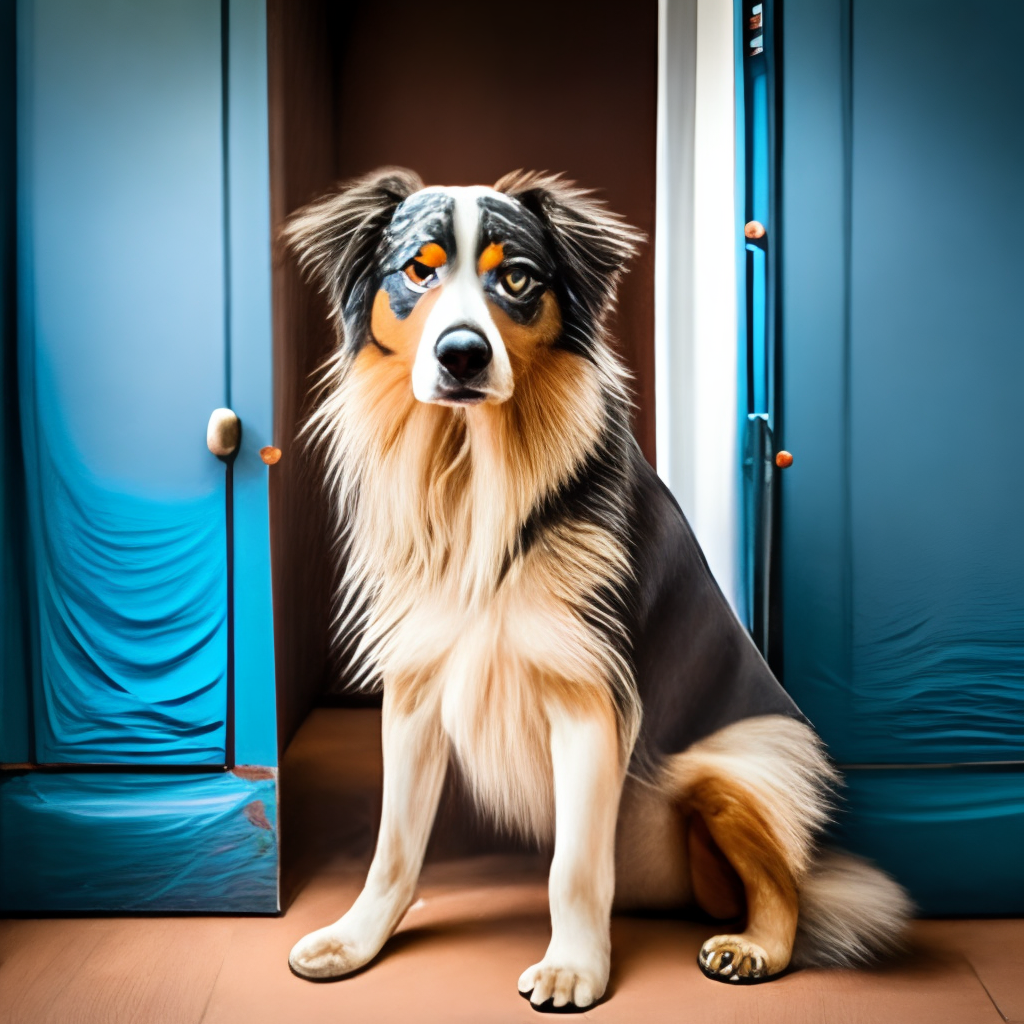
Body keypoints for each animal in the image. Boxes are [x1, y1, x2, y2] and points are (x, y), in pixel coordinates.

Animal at [282, 167, 913, 1007]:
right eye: (417, 270)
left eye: (517, 278)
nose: (462, 356)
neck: (475, 477)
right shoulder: (416, 690)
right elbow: (393, 845)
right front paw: (356, 939)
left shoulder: (588, 696)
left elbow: (575, 867)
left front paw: (572, 968)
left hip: (733, 764)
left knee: (787, 888)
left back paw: (750, 948)